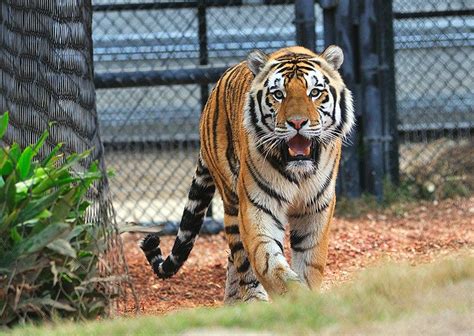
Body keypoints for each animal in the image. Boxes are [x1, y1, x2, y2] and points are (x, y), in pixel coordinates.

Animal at [141, 44, 356, 302]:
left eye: (314, 92)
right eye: (278, 94)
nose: (297, 123)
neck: (298, 173)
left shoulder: (316, 208)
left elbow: (310, 262)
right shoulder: (257, 207)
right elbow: (268, 262)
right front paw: (292, 297)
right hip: (233, 204)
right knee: (240, 258)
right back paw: (250, 301)